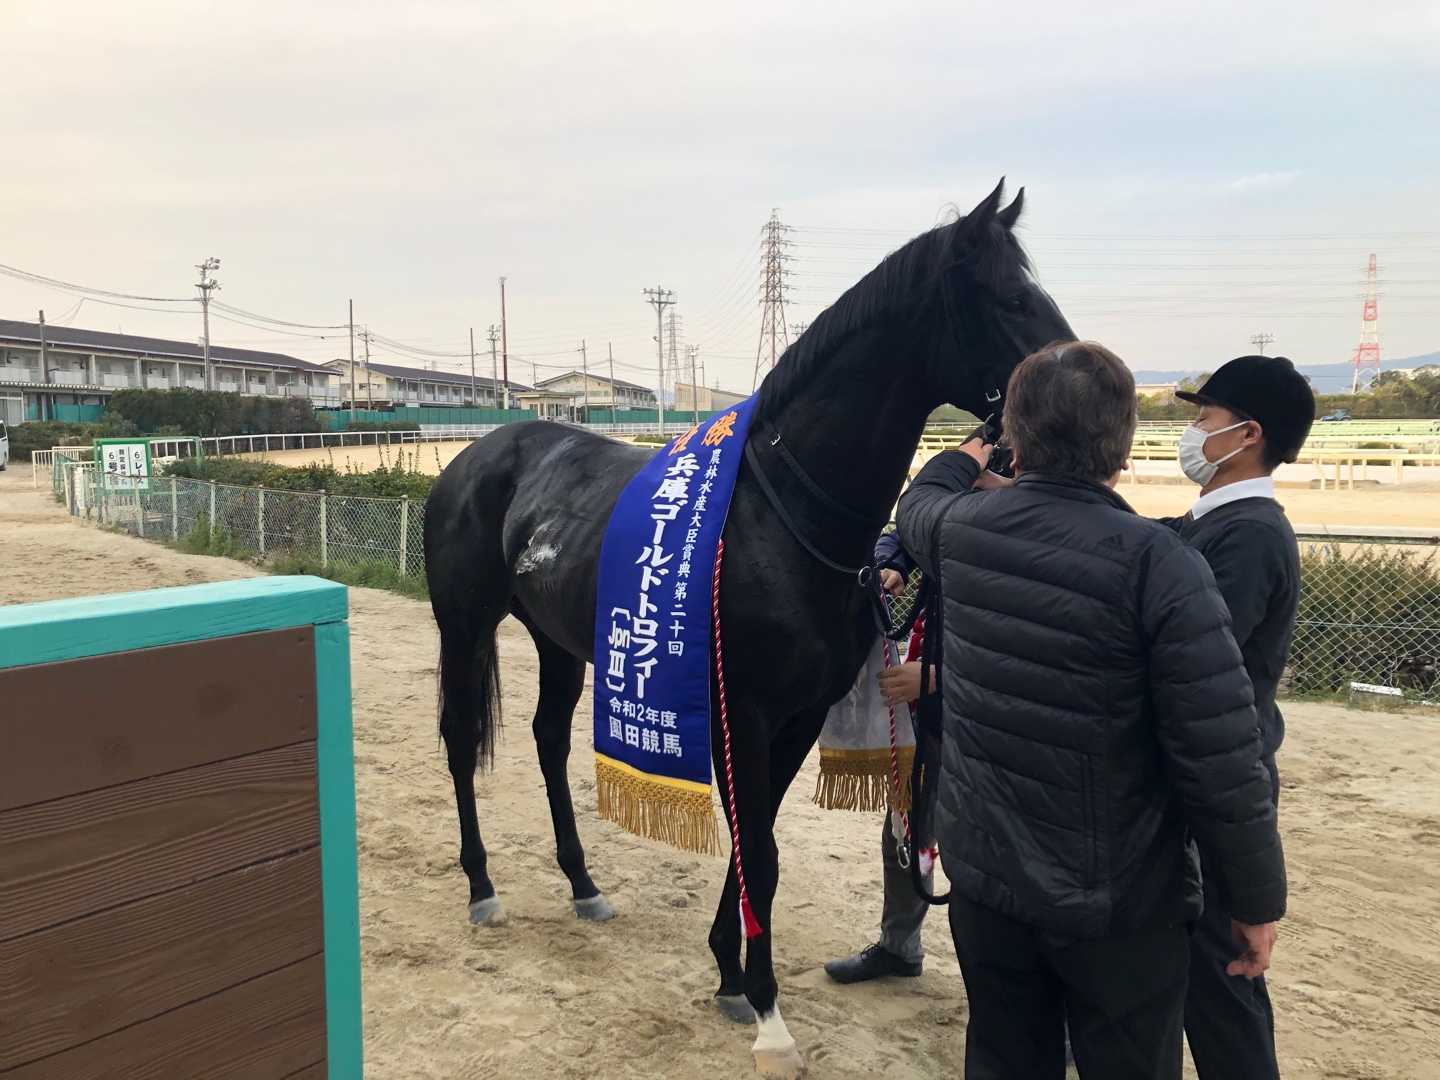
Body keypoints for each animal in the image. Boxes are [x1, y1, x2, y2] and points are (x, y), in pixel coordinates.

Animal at [422, 179, 1075, 1077]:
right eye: (1011, 297)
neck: (781, 513)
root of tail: (476, 455)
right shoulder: (748, 710)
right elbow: (759, 851)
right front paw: (765, 1006)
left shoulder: (795, 716)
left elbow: (754, 841)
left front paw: (729, 973)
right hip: (464, 624)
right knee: (460, 741)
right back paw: (482, 889)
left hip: (556, 640)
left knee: (549, 739)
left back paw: (584, 885)